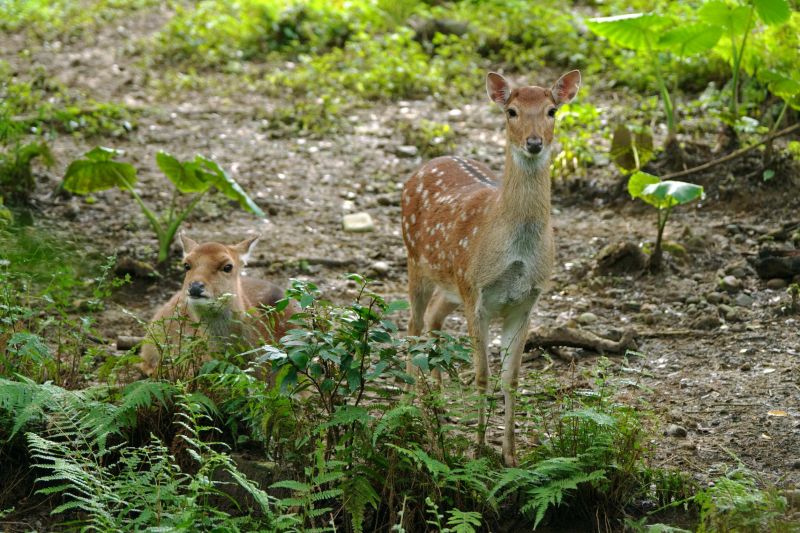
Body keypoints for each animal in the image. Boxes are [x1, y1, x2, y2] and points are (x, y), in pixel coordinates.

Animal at [404, 69, 580, 462]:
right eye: (511, 111)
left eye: (552, 111)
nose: (534, 142)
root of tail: (428, 163)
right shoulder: (478, 296)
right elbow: (483, 374)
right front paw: (477, 449)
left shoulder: (526, 301)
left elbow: (510, 379)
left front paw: (510, 454)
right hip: (417, 262)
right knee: (412, 327)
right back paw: (415, 407)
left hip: (452, 282)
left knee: (433, 317)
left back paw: (438, 401)